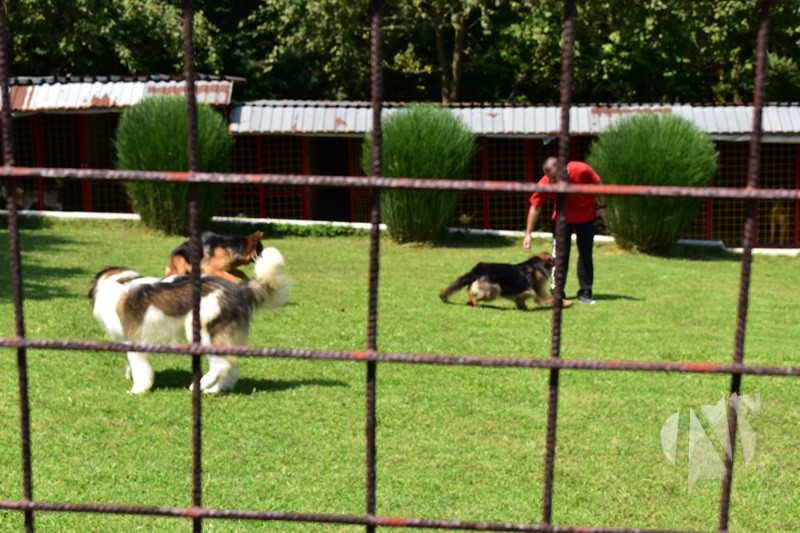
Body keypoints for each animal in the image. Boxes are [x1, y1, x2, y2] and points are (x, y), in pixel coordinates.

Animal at [89, 247, 291, 394]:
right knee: (231, 365)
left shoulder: (134, 341)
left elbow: (140, 368)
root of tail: (239, 290)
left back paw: (200, 385)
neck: (117, 281)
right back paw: (216, 389)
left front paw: (137, 389)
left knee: (222, 363)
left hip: (203, 332)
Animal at [439, 252, 572, 309]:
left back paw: (470, 301)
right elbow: (555, 298)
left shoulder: (526, 293)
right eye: (553, 258)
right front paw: (567, 303)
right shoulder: (540, 294)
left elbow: (521, 300)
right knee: (475, 294)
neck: (537, 264)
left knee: (469, 288)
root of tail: (477, 270)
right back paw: (474, 302)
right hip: (495, 289)